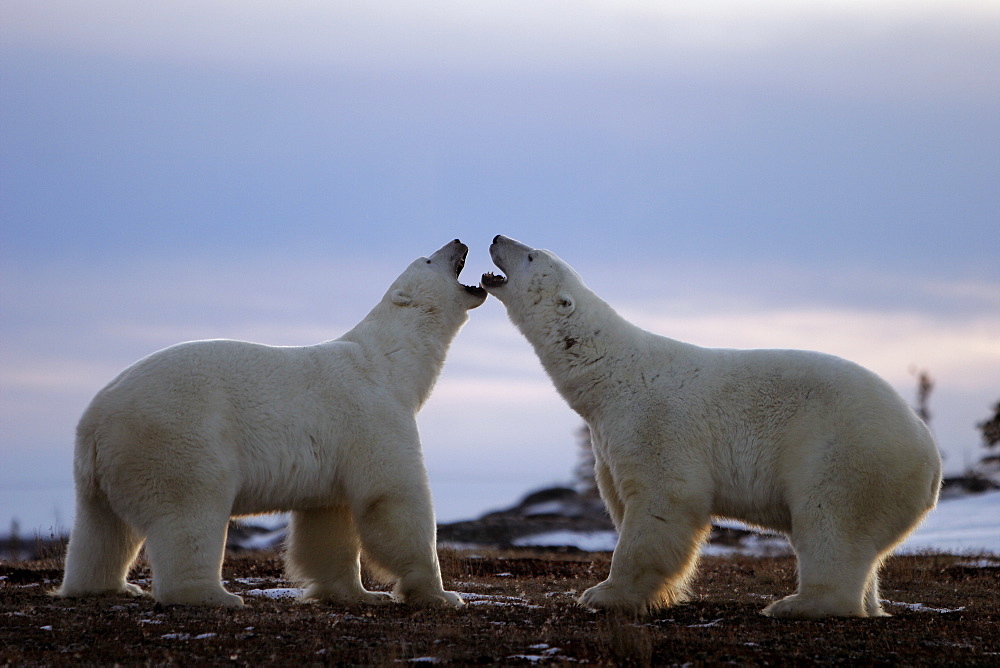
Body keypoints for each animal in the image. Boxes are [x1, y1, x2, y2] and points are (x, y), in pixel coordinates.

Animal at [58, 241, 488, 612]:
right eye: (429, 259)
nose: (458, 241)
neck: (391, 361)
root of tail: (95, 422)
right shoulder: (373, 414)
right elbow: (395, 497)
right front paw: (441, 593)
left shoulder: (336, 448)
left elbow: (328, 520)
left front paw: (359, 594)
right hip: (176, 440)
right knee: (190, 513)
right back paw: (215, 595)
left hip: (103, 470)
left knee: (100, 530)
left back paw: (105, 586)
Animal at [480, 236, 940, 620]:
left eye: (532, 254)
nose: (497, 237)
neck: (612, 374)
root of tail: (929, 454)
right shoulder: (607, 441)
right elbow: (622, 499)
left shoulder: (655, 423)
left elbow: (662, 501)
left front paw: (605, 593)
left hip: (846, 453)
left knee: (831, 524)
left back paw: (798, 604)